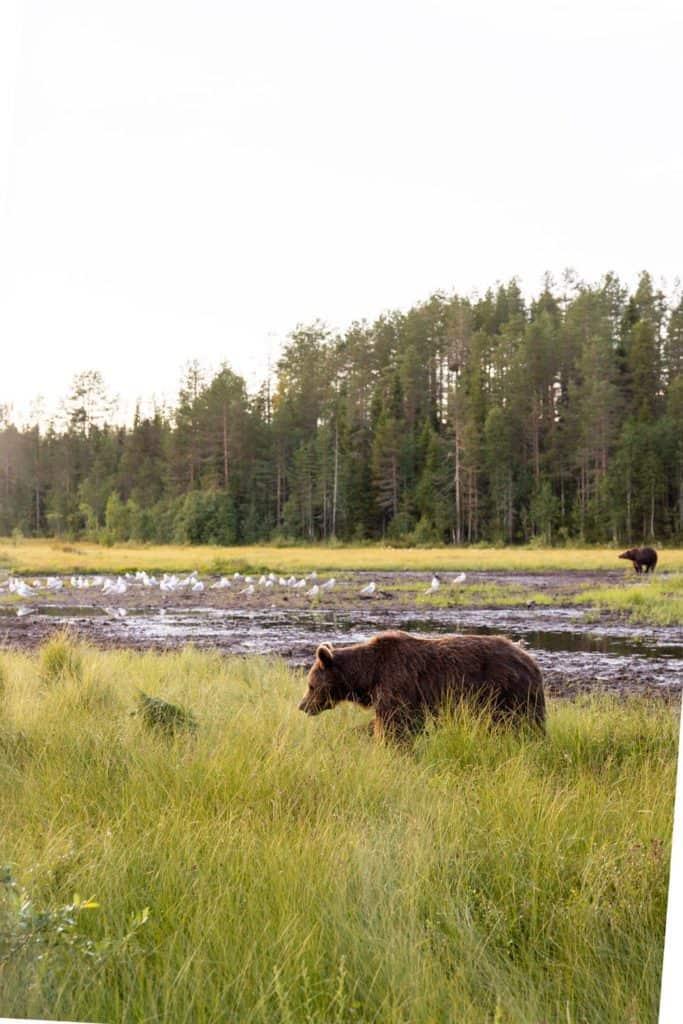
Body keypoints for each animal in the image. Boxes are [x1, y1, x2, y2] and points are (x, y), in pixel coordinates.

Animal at [296, 626, 544, 741]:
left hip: (505, 693)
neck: (368, 675)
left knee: (516, 723)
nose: (302, 705)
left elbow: (396, 725)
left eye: (310, 685)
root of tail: (530, 660)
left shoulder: (397, 684)